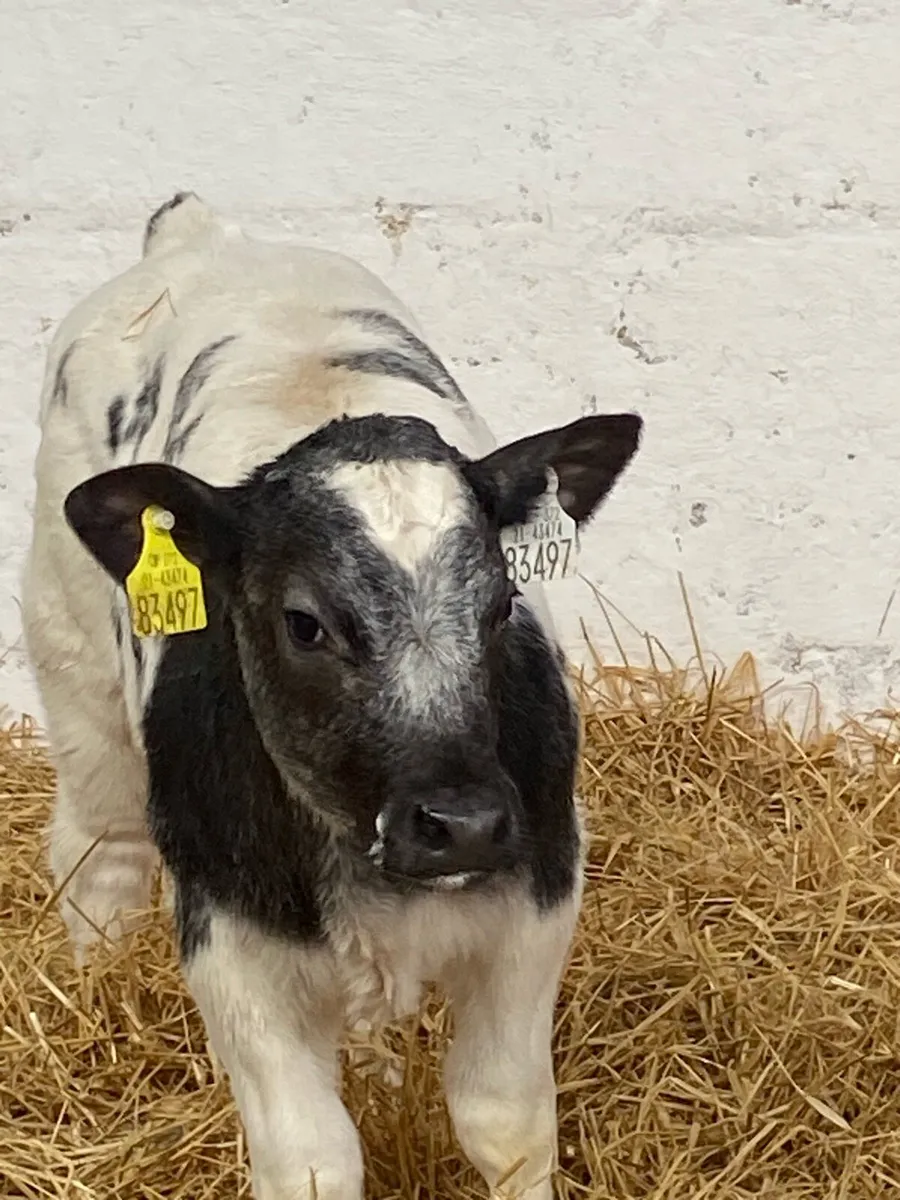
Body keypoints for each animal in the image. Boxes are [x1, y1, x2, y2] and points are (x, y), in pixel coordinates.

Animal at [21, 192, 642, 1200]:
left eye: (503, 602)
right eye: (304, 623)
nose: (462, 824)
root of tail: (198, 237)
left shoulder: (541, 891)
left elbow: (504, 1121)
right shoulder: (230, 938)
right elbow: (310, 1159)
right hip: (69, 653)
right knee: (98, 850)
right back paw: (98, 1003)